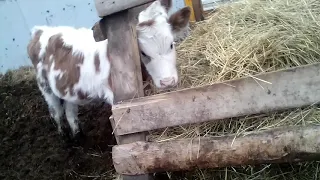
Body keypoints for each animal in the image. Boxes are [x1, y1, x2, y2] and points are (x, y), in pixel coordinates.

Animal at [26, 0, 190, 137]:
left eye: (171, 44)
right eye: (143, 52)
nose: (167, 82)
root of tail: (40, 30)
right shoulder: (115, 96)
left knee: (69, 109)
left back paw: (77, 134)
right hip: (45, 86)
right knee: (56, 111)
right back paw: (62, 134)